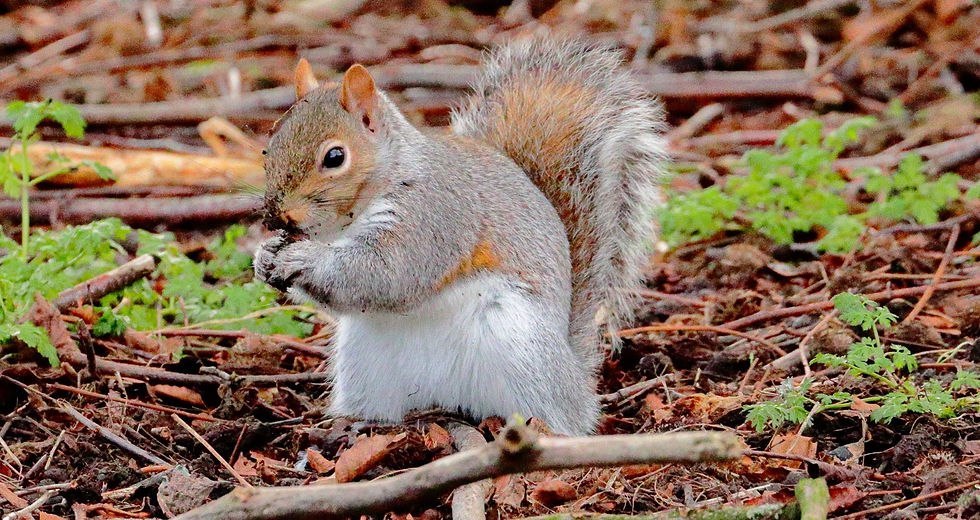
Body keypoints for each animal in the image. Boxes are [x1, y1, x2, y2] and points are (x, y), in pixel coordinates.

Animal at [253, 37, 666, 435]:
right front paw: (265, 255)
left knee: (563, 414)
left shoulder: (435, 216)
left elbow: (388, 274)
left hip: (522, 347)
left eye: (335, 157)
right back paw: (359, 424)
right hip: (363, 363)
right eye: (268, 146)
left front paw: (302, 258)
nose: (277, 215)